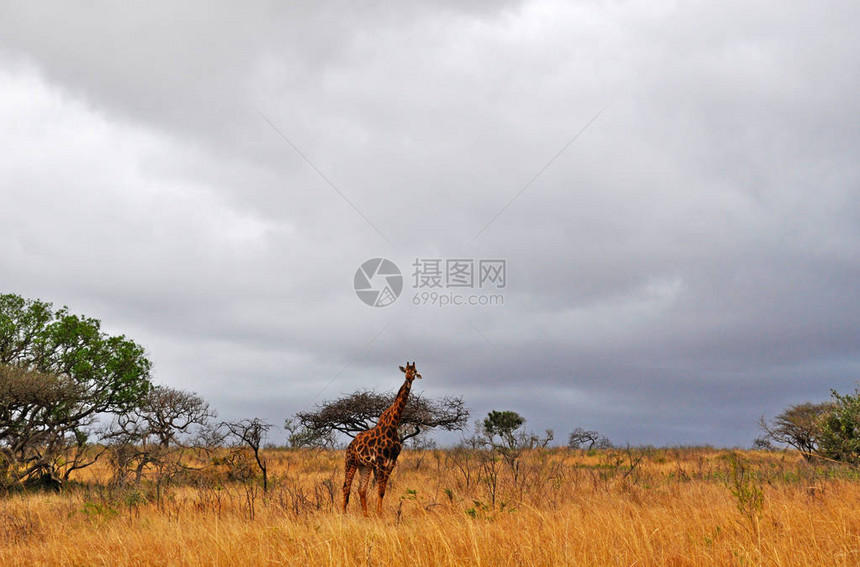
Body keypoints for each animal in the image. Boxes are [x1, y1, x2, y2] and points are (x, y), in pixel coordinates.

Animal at [344, 362, 422, 516]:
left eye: (415, 371)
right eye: (405, 371)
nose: (409, 379)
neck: (393, 426)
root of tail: (350, 444)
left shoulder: (391, 462)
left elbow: (382, 491)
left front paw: (378, 514)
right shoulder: (380, 462)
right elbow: (380, 490)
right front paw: (379, 515)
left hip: (364, 465)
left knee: (361, 489)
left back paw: (365, 515)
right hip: (351, 462)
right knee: (346, 487)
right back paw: (342, 513)